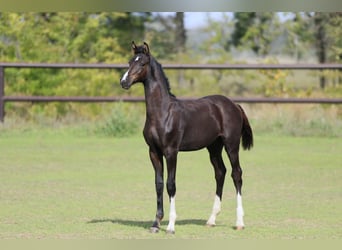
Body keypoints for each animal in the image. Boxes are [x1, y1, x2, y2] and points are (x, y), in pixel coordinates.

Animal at [120, 41, 254, 234]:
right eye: (130, 61)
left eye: (143, 63)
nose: (124, 82)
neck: (163, 112)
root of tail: (234, 104)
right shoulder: (153, 152)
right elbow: (158, 184)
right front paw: (155, 223)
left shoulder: (171, 151)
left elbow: (171, 184)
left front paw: (170, 226)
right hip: (214, 147)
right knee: (220, 173)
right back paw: (211, 219)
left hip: (231, 144)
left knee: (236, 174)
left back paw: (239, 222)